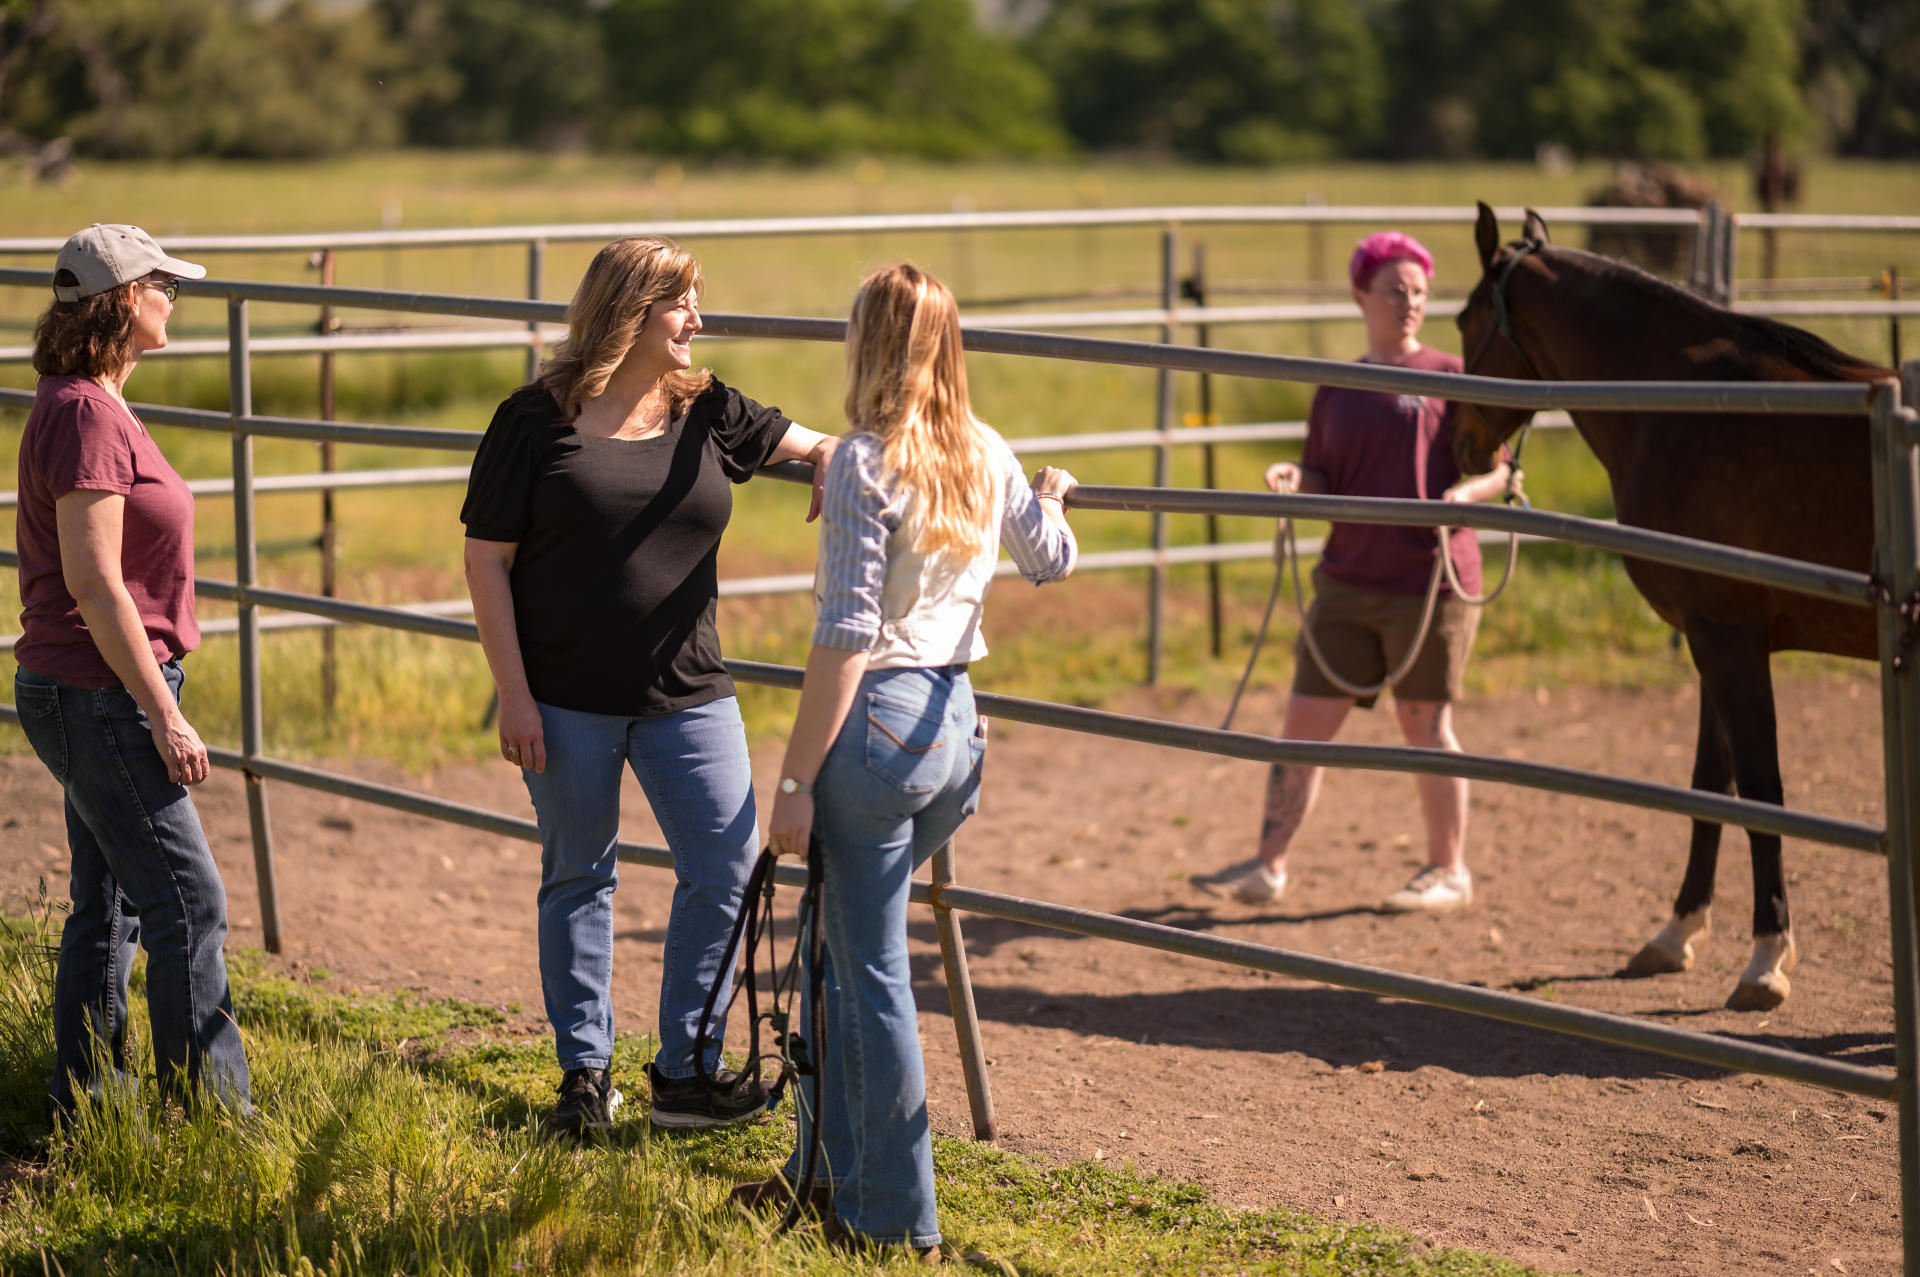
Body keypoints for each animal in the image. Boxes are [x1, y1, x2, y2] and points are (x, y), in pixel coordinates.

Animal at [1451, 204, 1889, 1013]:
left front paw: (1766, 959)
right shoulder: (1712, 638)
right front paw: (1677, 932)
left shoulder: (1727, 637)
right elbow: (1711, 785)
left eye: (1466, 321)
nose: (1464, 443)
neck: (1687, 402)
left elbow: (1761, 787)